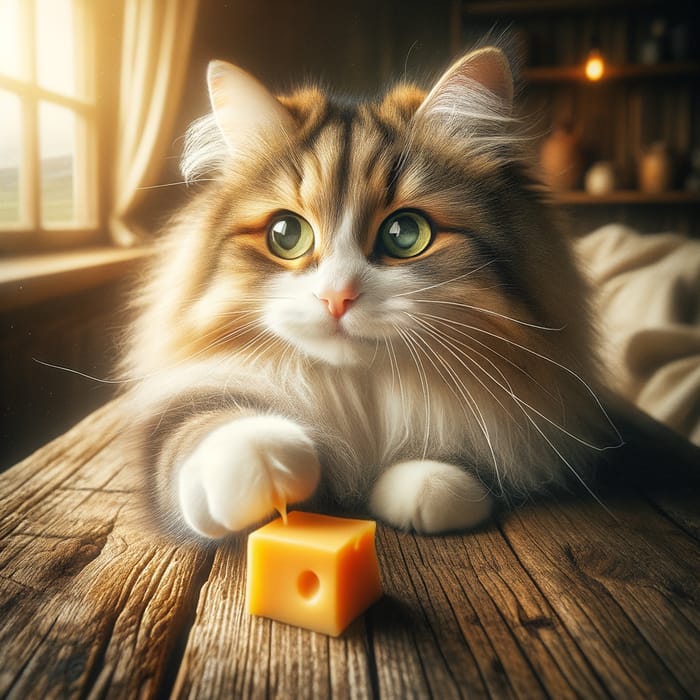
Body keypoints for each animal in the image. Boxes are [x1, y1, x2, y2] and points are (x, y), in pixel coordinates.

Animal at [121, 46, 616, 540]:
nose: (336, 297)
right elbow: (205, 424)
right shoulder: (179, 410)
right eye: (286, 234)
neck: (360, 394)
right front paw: (259, 458)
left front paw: (432, 483)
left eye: (405, 233)